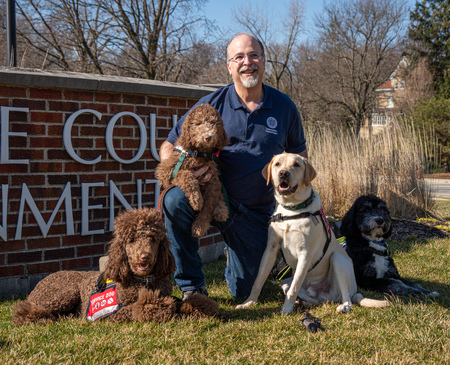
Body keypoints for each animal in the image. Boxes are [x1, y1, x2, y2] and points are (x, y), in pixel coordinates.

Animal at [11, 206, 219, 322]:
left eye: (152, 239)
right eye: (132, 240)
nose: (145, 257)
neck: (144, 281)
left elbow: (186, 302)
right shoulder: (115, 313)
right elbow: (144, 308)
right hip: (65, 293)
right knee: (28, 310)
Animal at [156, 104, 230, 237]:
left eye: (214, 123)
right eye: (198, 123)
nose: (207, 137)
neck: (198, 153)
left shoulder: (212, 180)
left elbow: (207, 206)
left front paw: (199, 226)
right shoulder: (166, 171)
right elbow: (185, 174)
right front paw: (196, 200)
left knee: (219, 198)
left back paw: (221, 210)